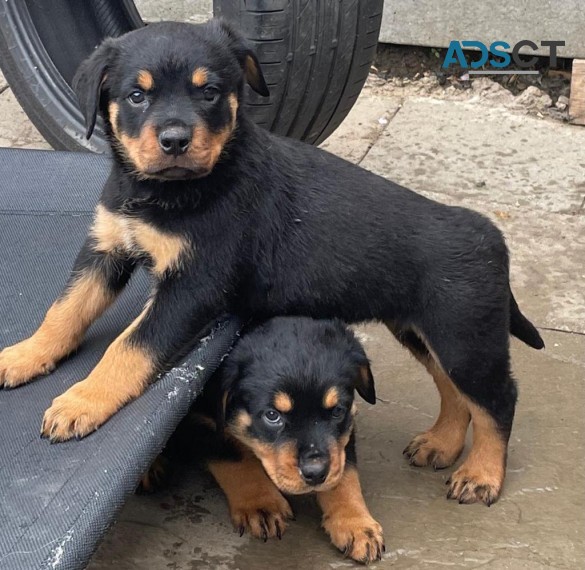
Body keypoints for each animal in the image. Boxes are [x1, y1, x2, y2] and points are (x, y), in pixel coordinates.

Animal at [0, 20, 544, 504]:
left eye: (209, 92)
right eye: (137, 95)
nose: (174, 140)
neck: (165, 192)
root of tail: (492, 236)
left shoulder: (194, 287)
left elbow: (129, 347)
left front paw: (81, 402)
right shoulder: (106, 249)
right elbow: (65, 311)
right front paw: (22, 357)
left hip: (465, 333)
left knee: (498, 399)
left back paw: (480, 475)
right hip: (423, 329)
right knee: (455, 390)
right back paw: (441, 444)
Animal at [144, 318, 384, 560]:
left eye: (337, 411)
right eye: (272, 415)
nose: (315, 473)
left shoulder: (345, 428)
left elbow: (345, 471)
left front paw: (356, 524)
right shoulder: (201, 421)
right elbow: (237, 461)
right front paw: (262, 504)